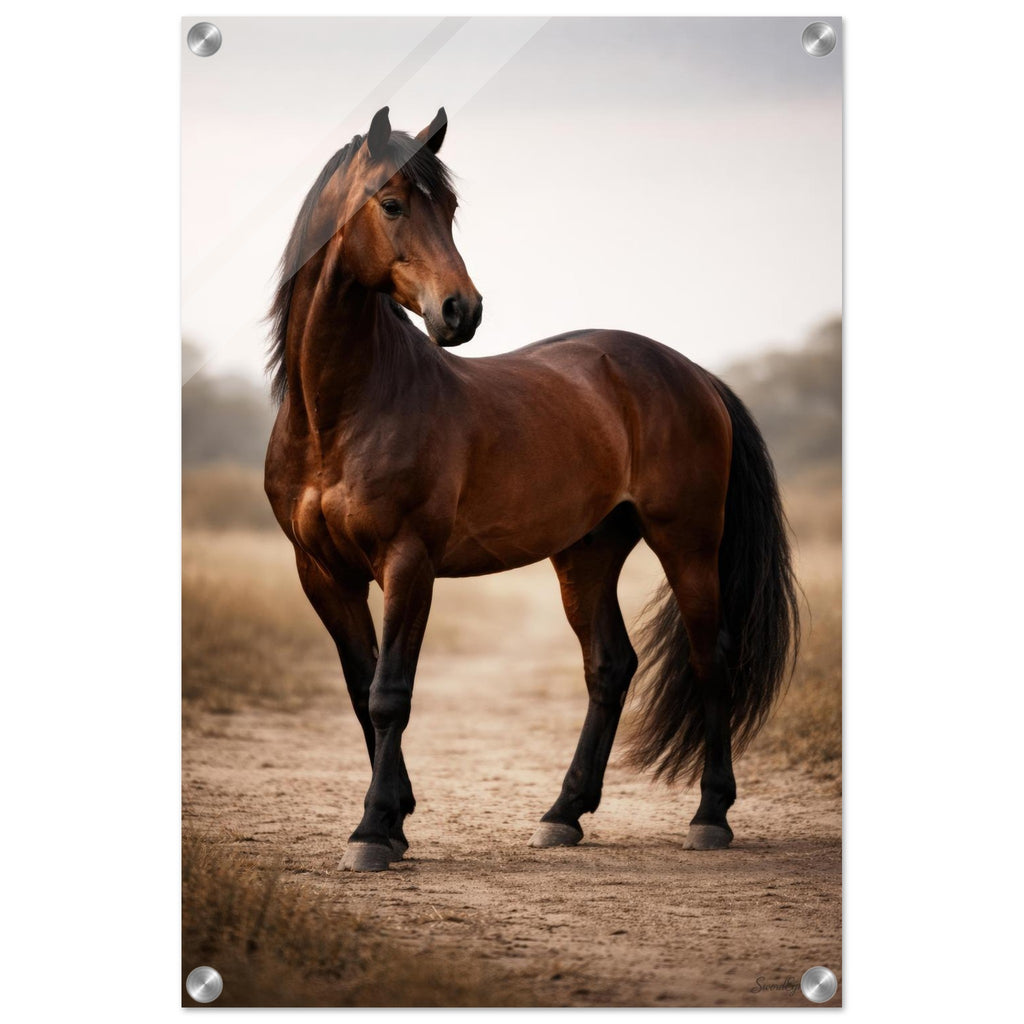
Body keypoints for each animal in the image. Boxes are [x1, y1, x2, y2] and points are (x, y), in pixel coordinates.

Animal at [264, 106, 799, 872]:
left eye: (450, 208)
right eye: (391, 204)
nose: (461, 311)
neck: (342, 412)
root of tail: (692, 372)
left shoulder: (408, 562)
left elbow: (391, 693)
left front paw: (370, 832)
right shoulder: (322, 573)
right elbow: (361, 690)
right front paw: (393, 822)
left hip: (687, 544)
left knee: (711, 659)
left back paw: (710, 816)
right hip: (587, 553)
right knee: (610, 666)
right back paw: (562, 813)